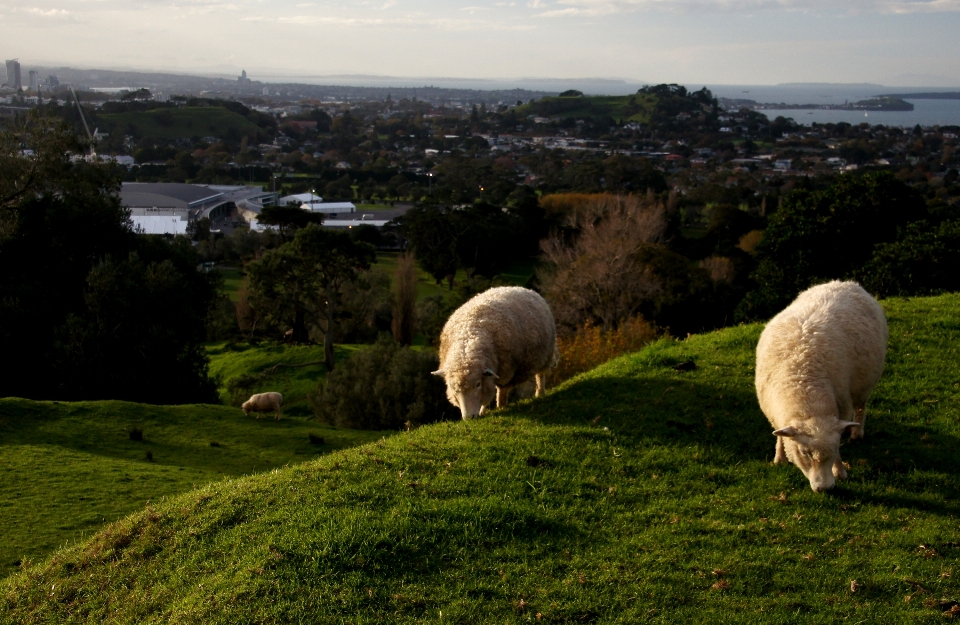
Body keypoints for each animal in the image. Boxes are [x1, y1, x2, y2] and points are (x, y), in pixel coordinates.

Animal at [434, 288, 560, 420]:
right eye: (453, 388)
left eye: (478, 384)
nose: (469, 417)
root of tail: (524, 289)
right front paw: (483, 411)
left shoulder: (506, 371)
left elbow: (501, 390)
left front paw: (501, 406)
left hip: (546, 354)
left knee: (540, 375)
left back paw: (540, 393)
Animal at [752, 282, 888, 492]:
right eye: (804, 453)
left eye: (835, 448)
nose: (825, 488)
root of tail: (844, 282)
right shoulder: (774, 415)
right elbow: (780, 436)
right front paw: (780, 457)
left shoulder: (841, 408)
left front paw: (840, 472)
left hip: (864, 385)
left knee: (861, 407)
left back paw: (857, 433)